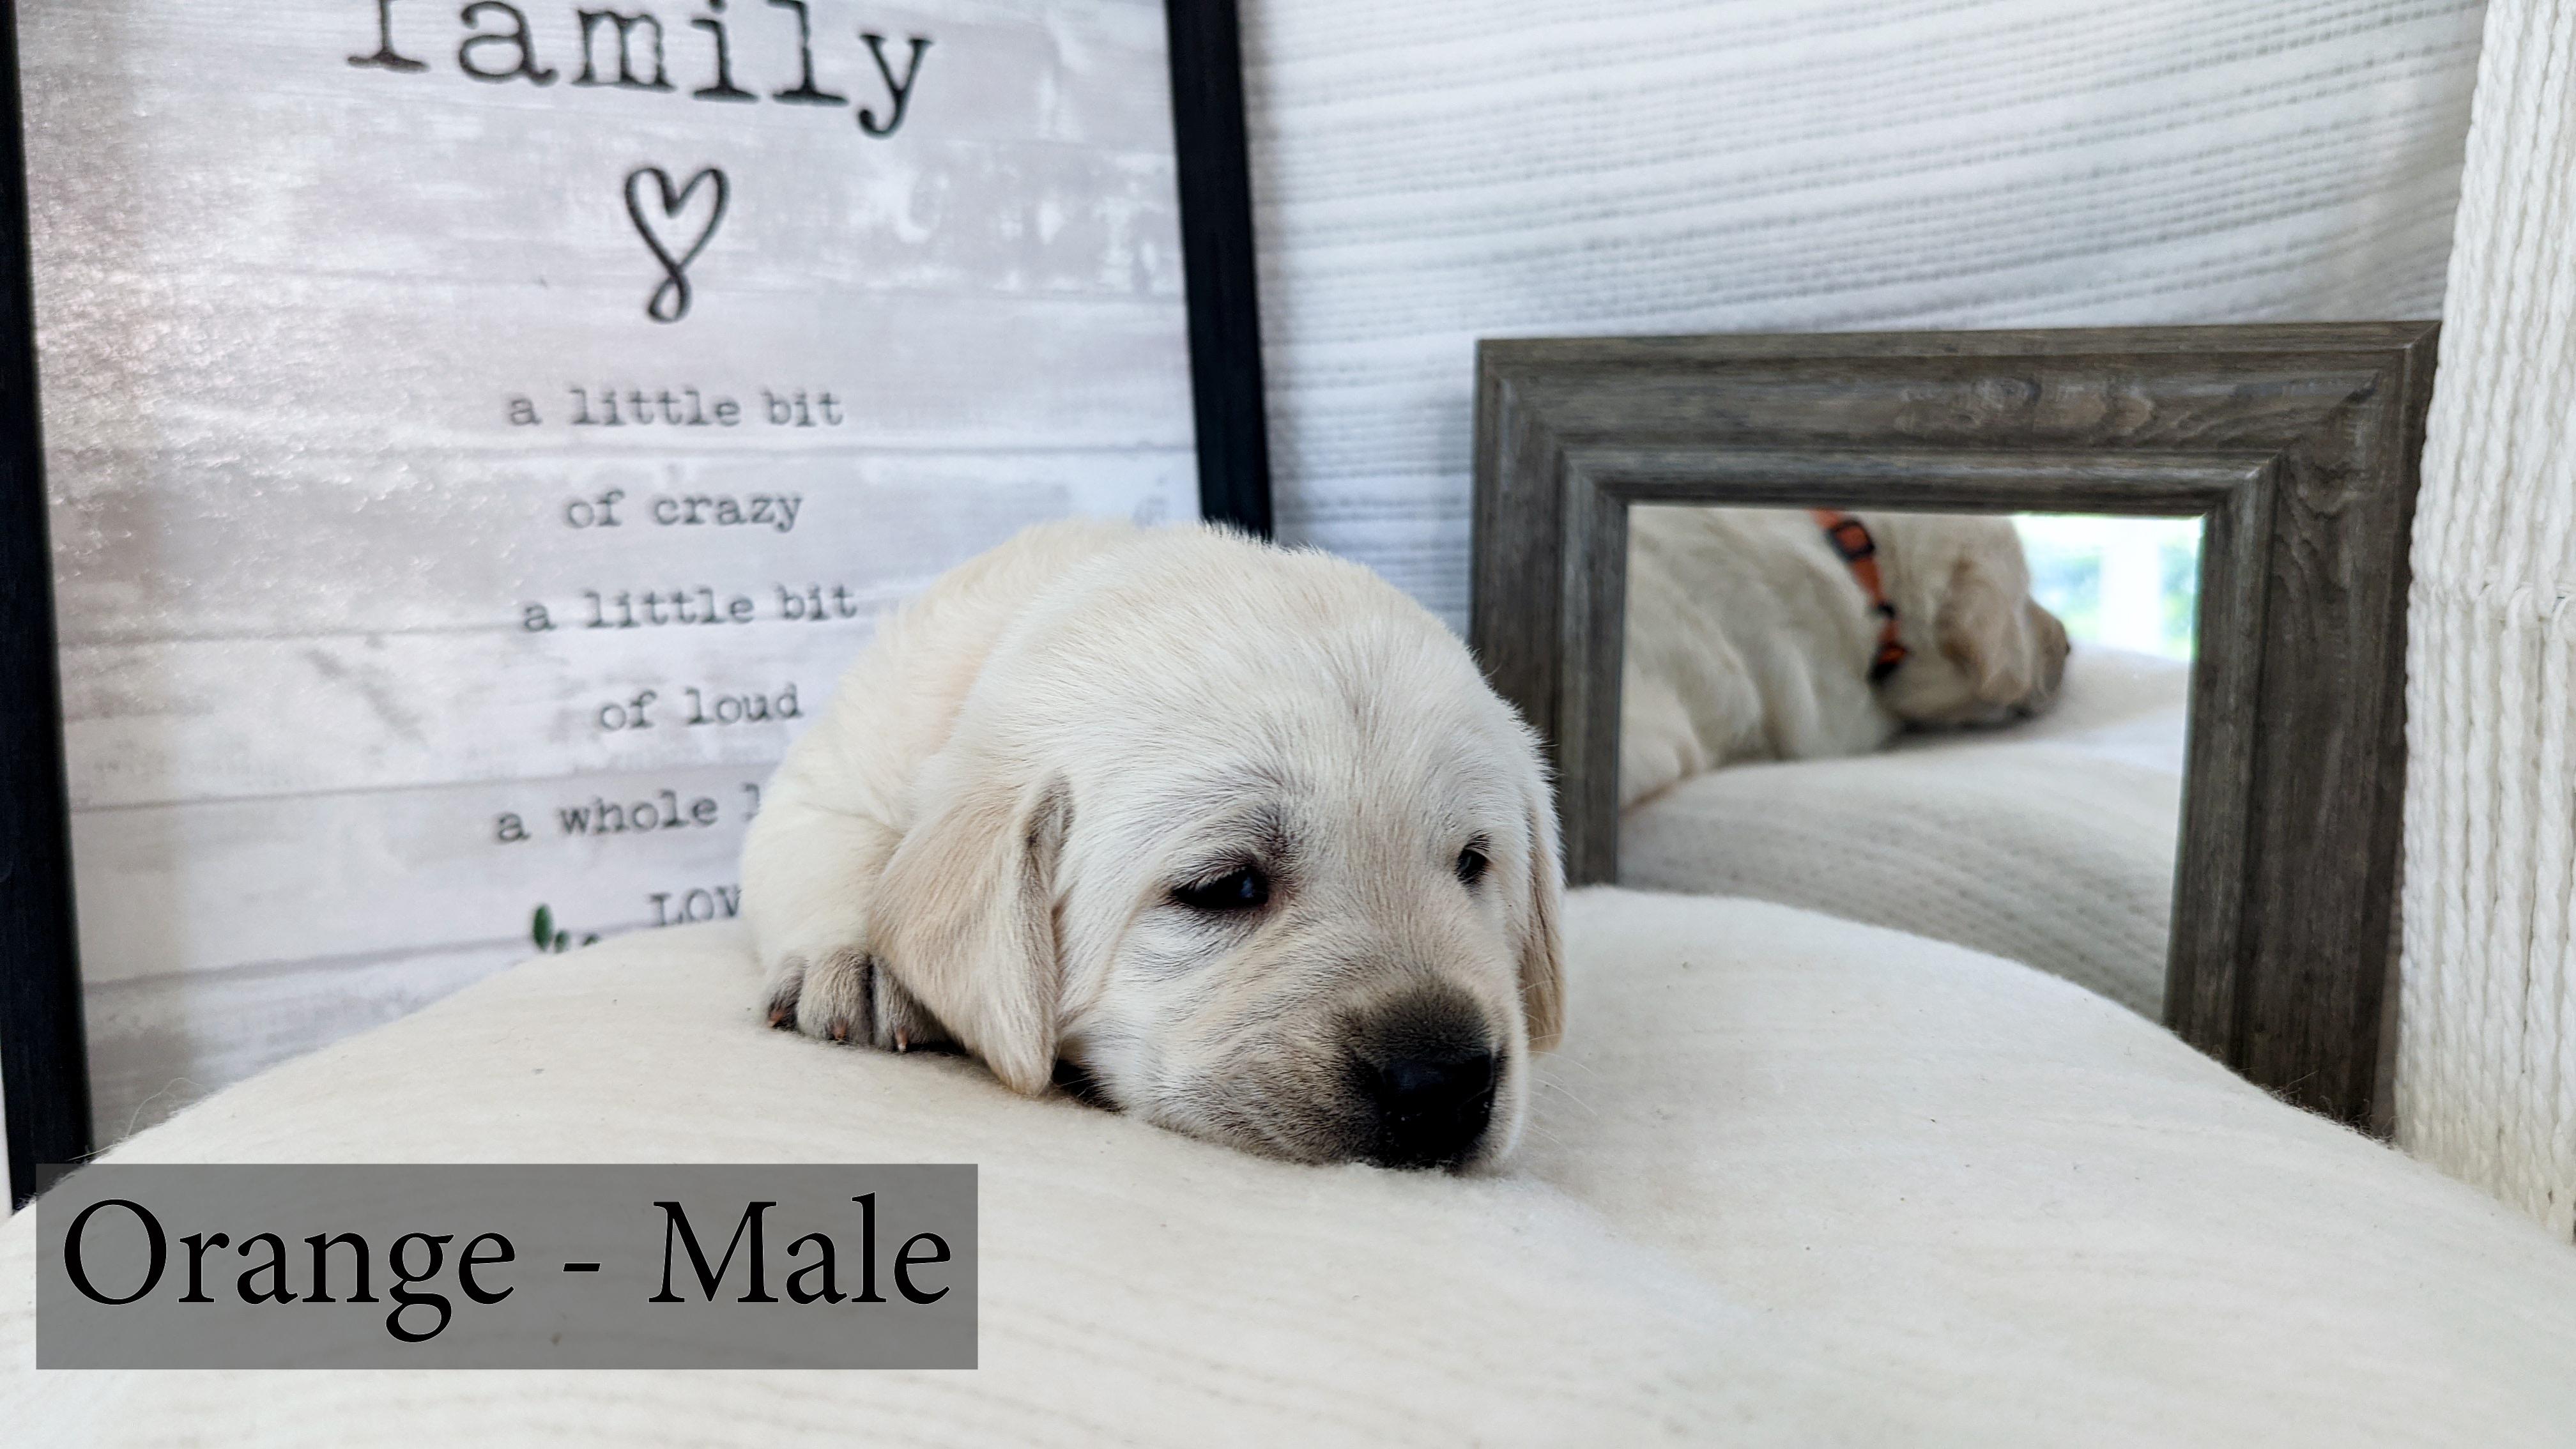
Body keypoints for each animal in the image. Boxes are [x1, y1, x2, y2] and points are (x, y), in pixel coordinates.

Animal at [743, 520, 1564, 1171]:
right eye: (1224, 888)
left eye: (1472, 862)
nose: (1446, 1080)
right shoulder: (827, 778)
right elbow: (830, 841)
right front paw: (857, 962)